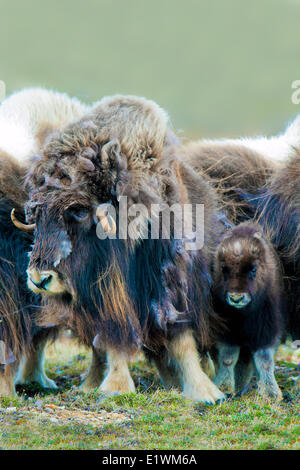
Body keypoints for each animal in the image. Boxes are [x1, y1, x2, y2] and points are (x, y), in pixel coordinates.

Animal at [212, 222, 282, 398]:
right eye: (224, 268)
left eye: (253, 268)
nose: (236, 298)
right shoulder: (228, 333)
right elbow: (228, 358)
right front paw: (224, 387)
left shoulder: (265, 330)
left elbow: (264, 360)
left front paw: (271, 393)